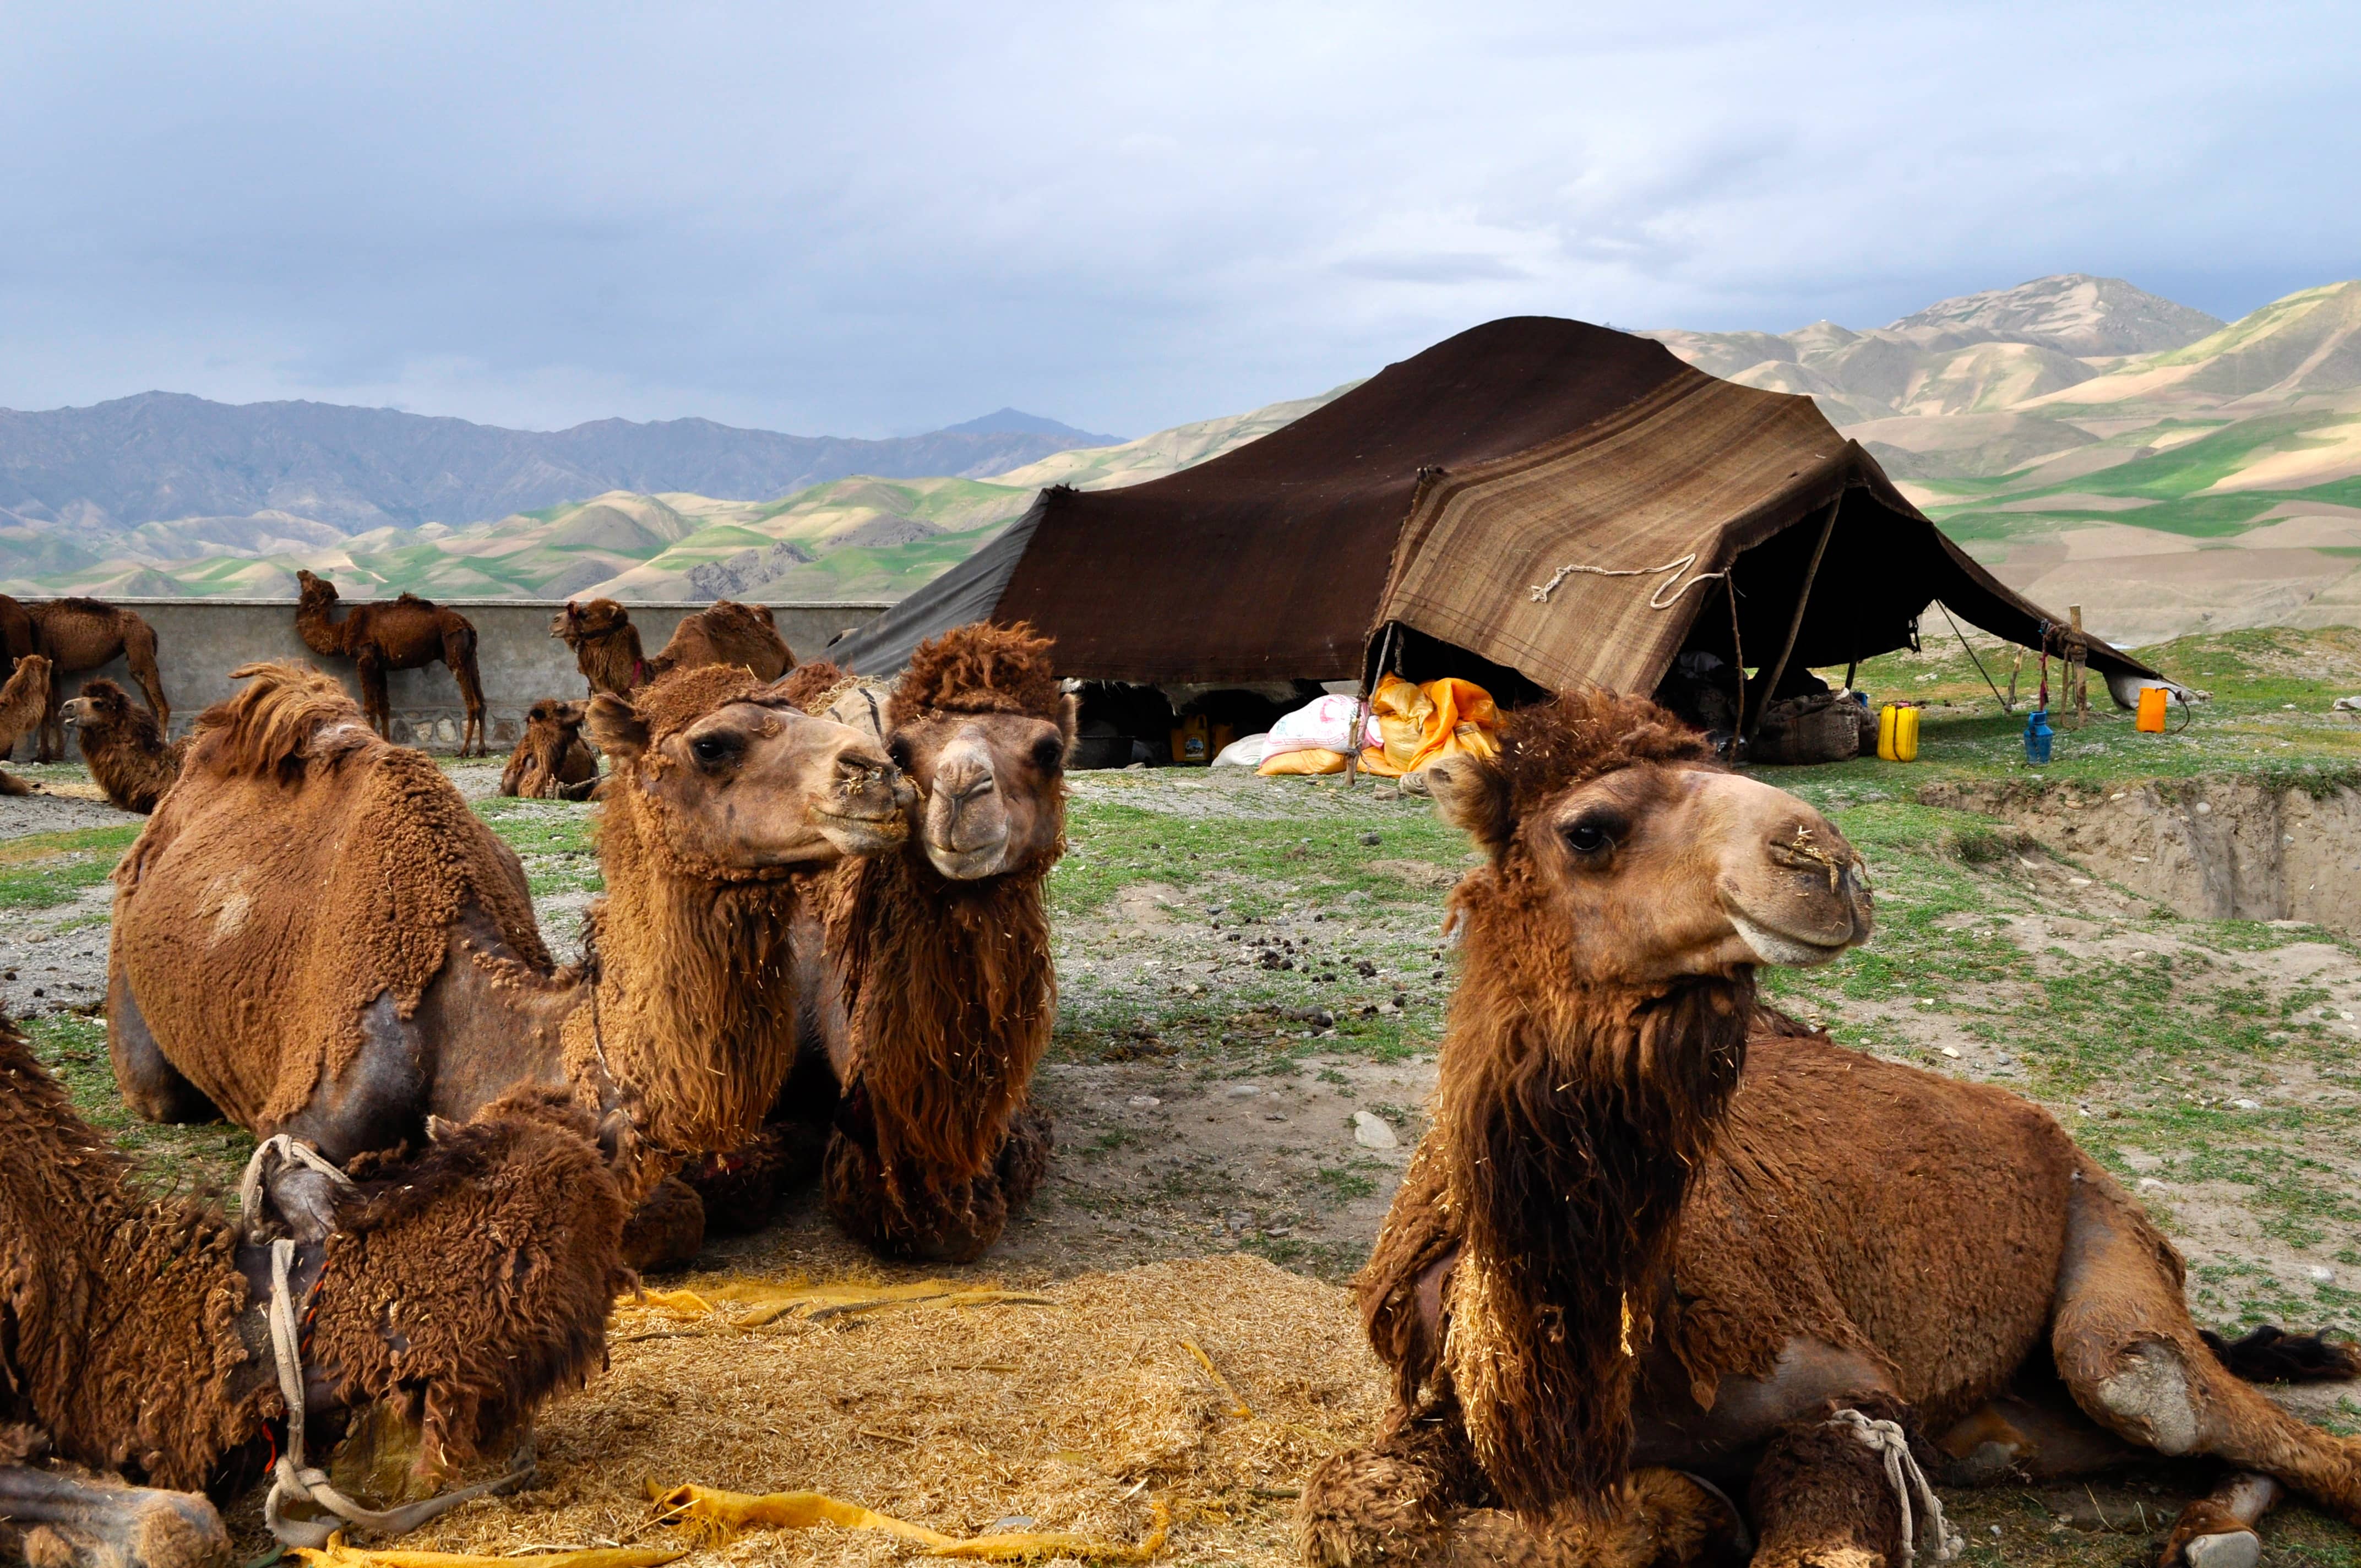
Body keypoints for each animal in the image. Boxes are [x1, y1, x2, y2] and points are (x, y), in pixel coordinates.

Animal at [22, 597, 168, 763]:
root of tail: (149, 628)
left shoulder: (45, 659)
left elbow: (47, 707)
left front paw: (43, 756)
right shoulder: (55, 670)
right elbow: (57, 704)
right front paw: (58, 754)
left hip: (139, 648)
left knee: (162, 705)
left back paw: (161, 747)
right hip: (136, 657)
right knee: (151, 702)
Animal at [294, 571, 488, 756]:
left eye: (315, 582)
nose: (302, 572)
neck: (342, 632)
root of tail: (468, 626)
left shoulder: (366, 659)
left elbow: (370, 707)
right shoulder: (380, 666)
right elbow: (384, 708)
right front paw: (387, 744)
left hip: (455, 652)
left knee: (473, 703)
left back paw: (464, 751)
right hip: (471, 658)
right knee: (482, 701)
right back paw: (480, 750)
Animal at [1297, 690, 2361, 1568]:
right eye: (1587, 829)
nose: (1826, 862)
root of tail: (2056, 1136)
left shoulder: (1843, 1398)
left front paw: (1685, 1513)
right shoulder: (1451, 1407)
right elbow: (1357, 1506)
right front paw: (1679, 1511)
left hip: (2104, 1254)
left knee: (2193, 1398)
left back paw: (2217, 1528)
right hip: (2013, 1410)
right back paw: (2205, 1530)